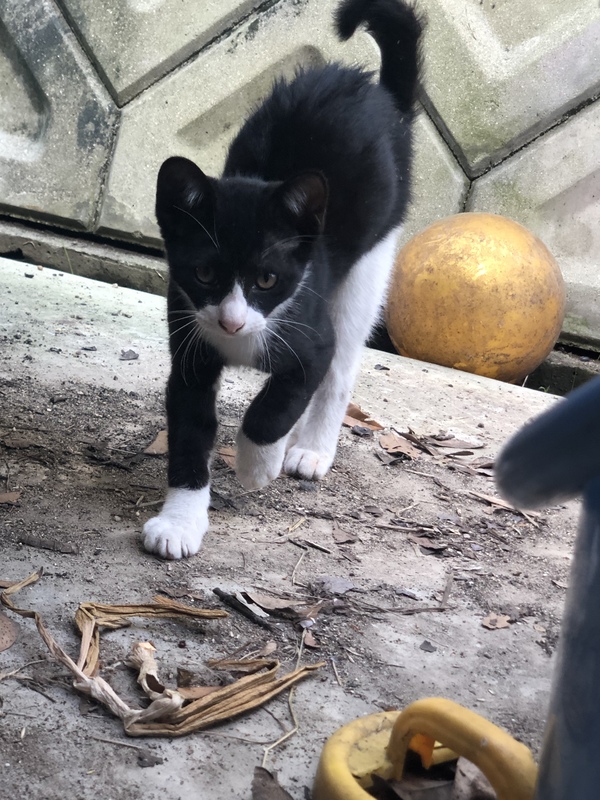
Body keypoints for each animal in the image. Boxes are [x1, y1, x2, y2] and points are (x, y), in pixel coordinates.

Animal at [143, 0, 423, 559]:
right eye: (204, 272)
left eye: (268, 280)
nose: (231, 322)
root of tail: (375, 89)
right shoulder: (188, 352)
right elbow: (189, 431)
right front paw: (181, 522)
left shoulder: (311, 339)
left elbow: (274, 406)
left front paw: (258, 466)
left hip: (371, 261)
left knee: (341, 367)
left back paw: (310, 450)